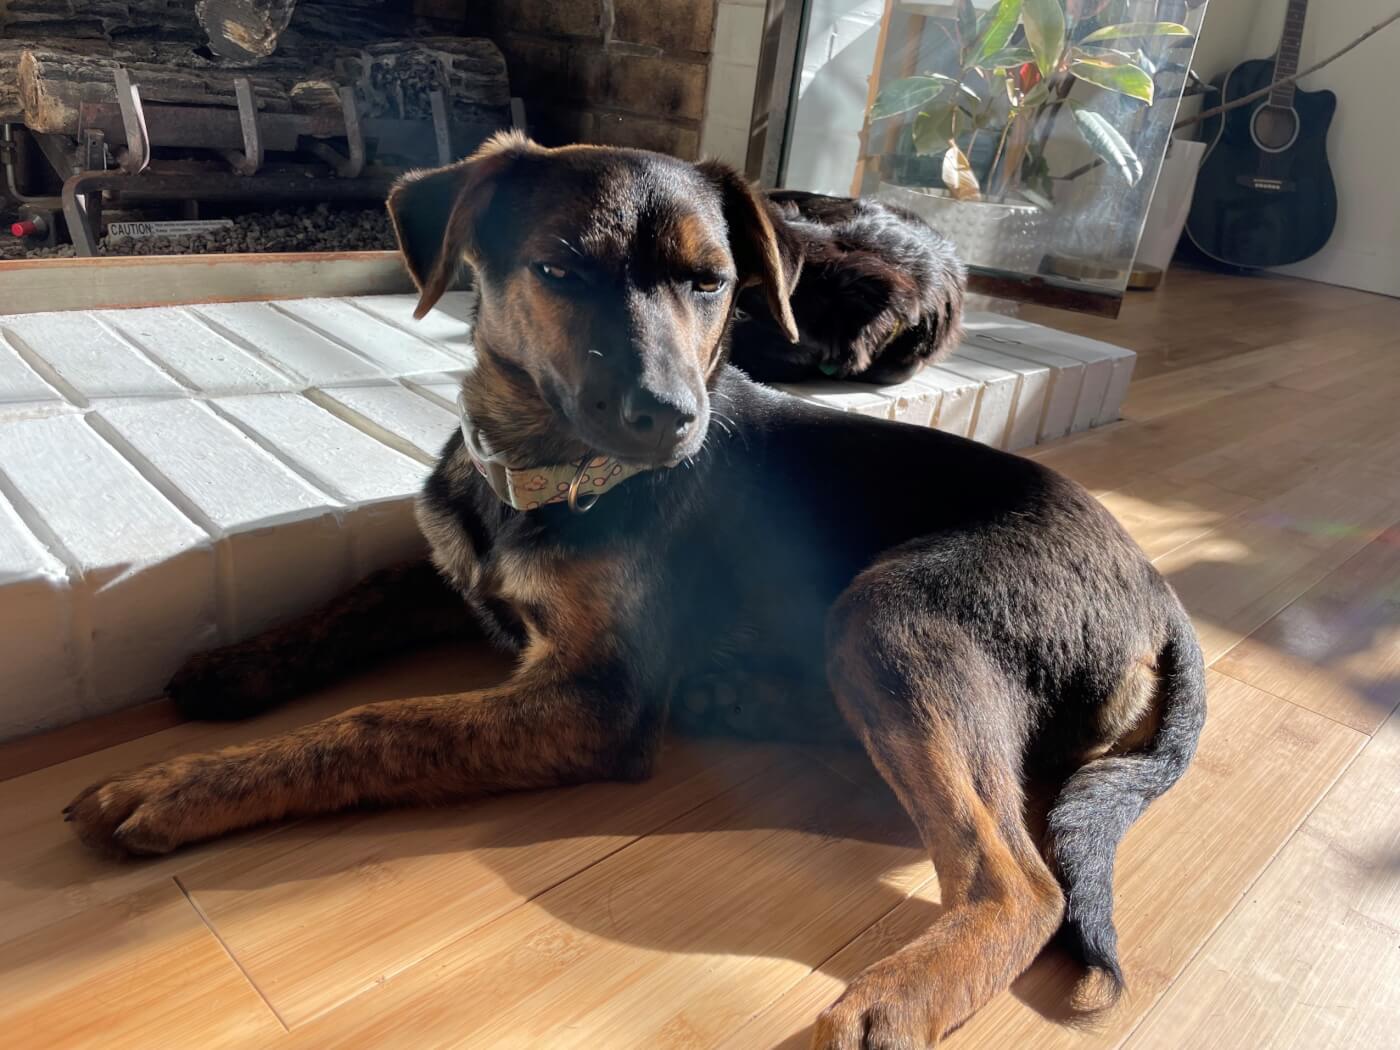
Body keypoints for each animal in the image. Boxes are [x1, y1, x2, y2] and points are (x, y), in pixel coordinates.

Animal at [63, 133, 1204, 1050]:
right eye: (558, 269)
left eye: (713, 284)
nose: (669, 417)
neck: (542, 474)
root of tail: (1161, 595)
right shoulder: (456, 576)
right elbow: (357, 597)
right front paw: (235, 665)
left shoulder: (591, 698)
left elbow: (379, 723)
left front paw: (181, 785)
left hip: (897, 611)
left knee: (1019, 882)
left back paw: (898, 997)